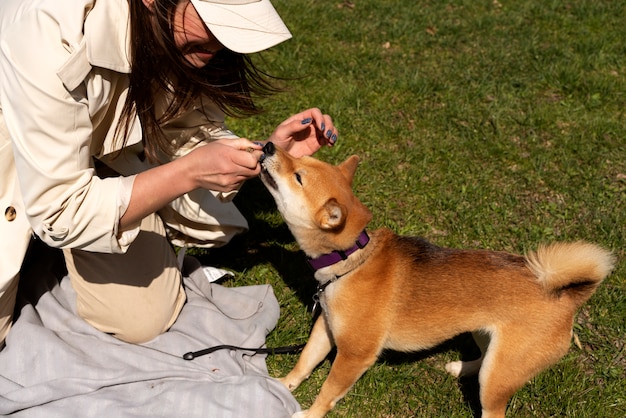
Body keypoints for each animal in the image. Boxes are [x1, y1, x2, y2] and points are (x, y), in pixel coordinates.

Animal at [256, 142, 612, 416]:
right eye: (300, 160)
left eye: (298, 176)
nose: (270, 145)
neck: (350, 261)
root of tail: (567, 296)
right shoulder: (326, 328)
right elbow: (305, 361)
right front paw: (283, 385)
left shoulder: (355, 354)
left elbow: (329, 391)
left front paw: (309, 412)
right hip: (484, 336)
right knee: (483, 360)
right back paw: (463, 368)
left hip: (501, 378)